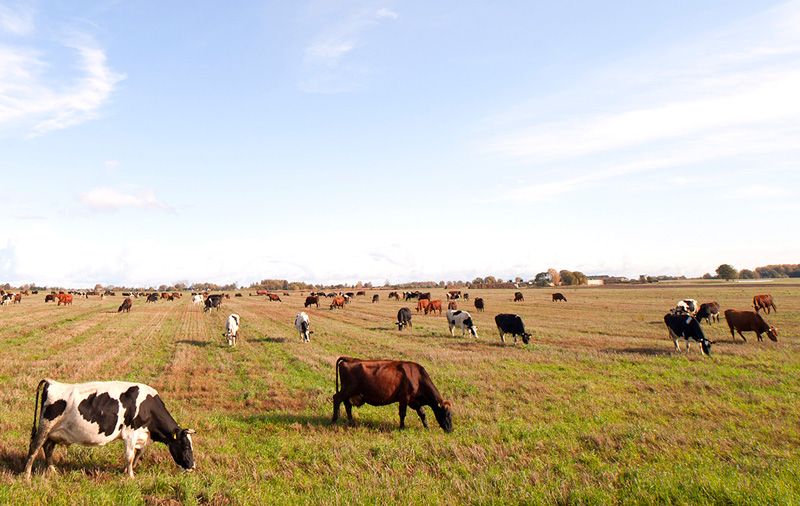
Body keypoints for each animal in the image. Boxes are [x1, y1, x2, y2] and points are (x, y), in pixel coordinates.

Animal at [23, 378, 195, 480]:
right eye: (186, 446)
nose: (192, 467)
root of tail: (51, 382)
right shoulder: (130, 433)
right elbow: (130, 456)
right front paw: (131, 476)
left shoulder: (141, 435)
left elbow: (138, 454)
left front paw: (126, 470)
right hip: (45, 426)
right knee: (35, 446)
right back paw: (27, 475)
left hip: (54, 432)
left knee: (48, 447)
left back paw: (52, 471)